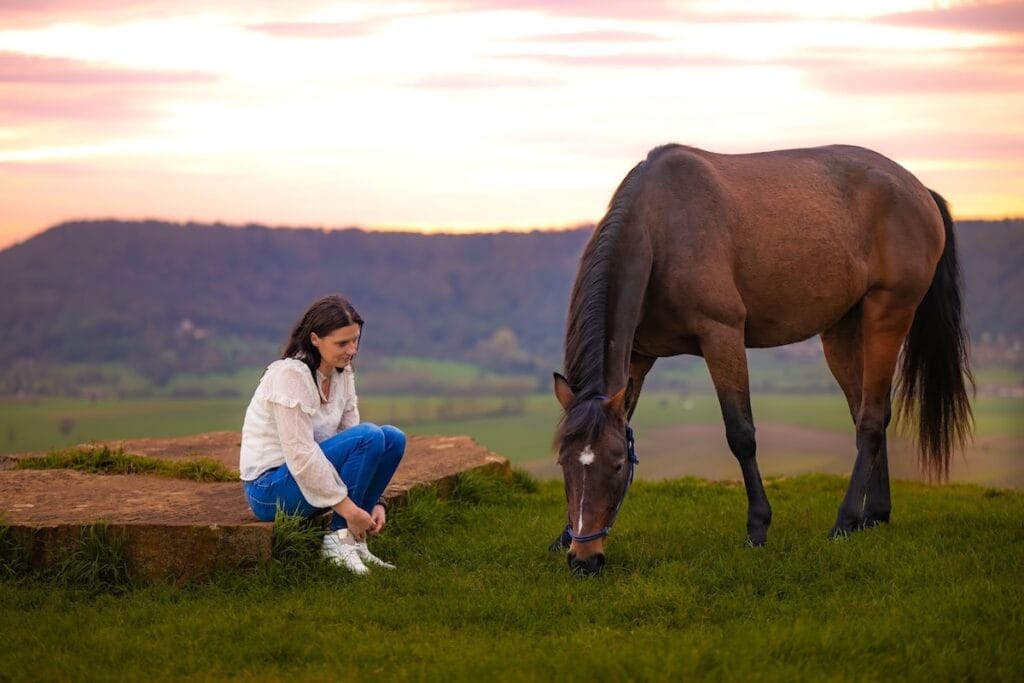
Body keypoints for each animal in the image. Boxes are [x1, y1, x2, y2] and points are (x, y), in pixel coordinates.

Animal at [550, 143, 974, 576]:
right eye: (564, 463)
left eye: (618, 464)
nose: (584, 560)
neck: (660, 228)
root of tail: (919, 191)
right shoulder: (639, 355)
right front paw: (563, 537)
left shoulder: (722, 335)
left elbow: (741, 434)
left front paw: (757, 528)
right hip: (842, 330)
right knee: (869, 411)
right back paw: (874, 515)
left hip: (888, 315)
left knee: (871, 419)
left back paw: (845, 520)